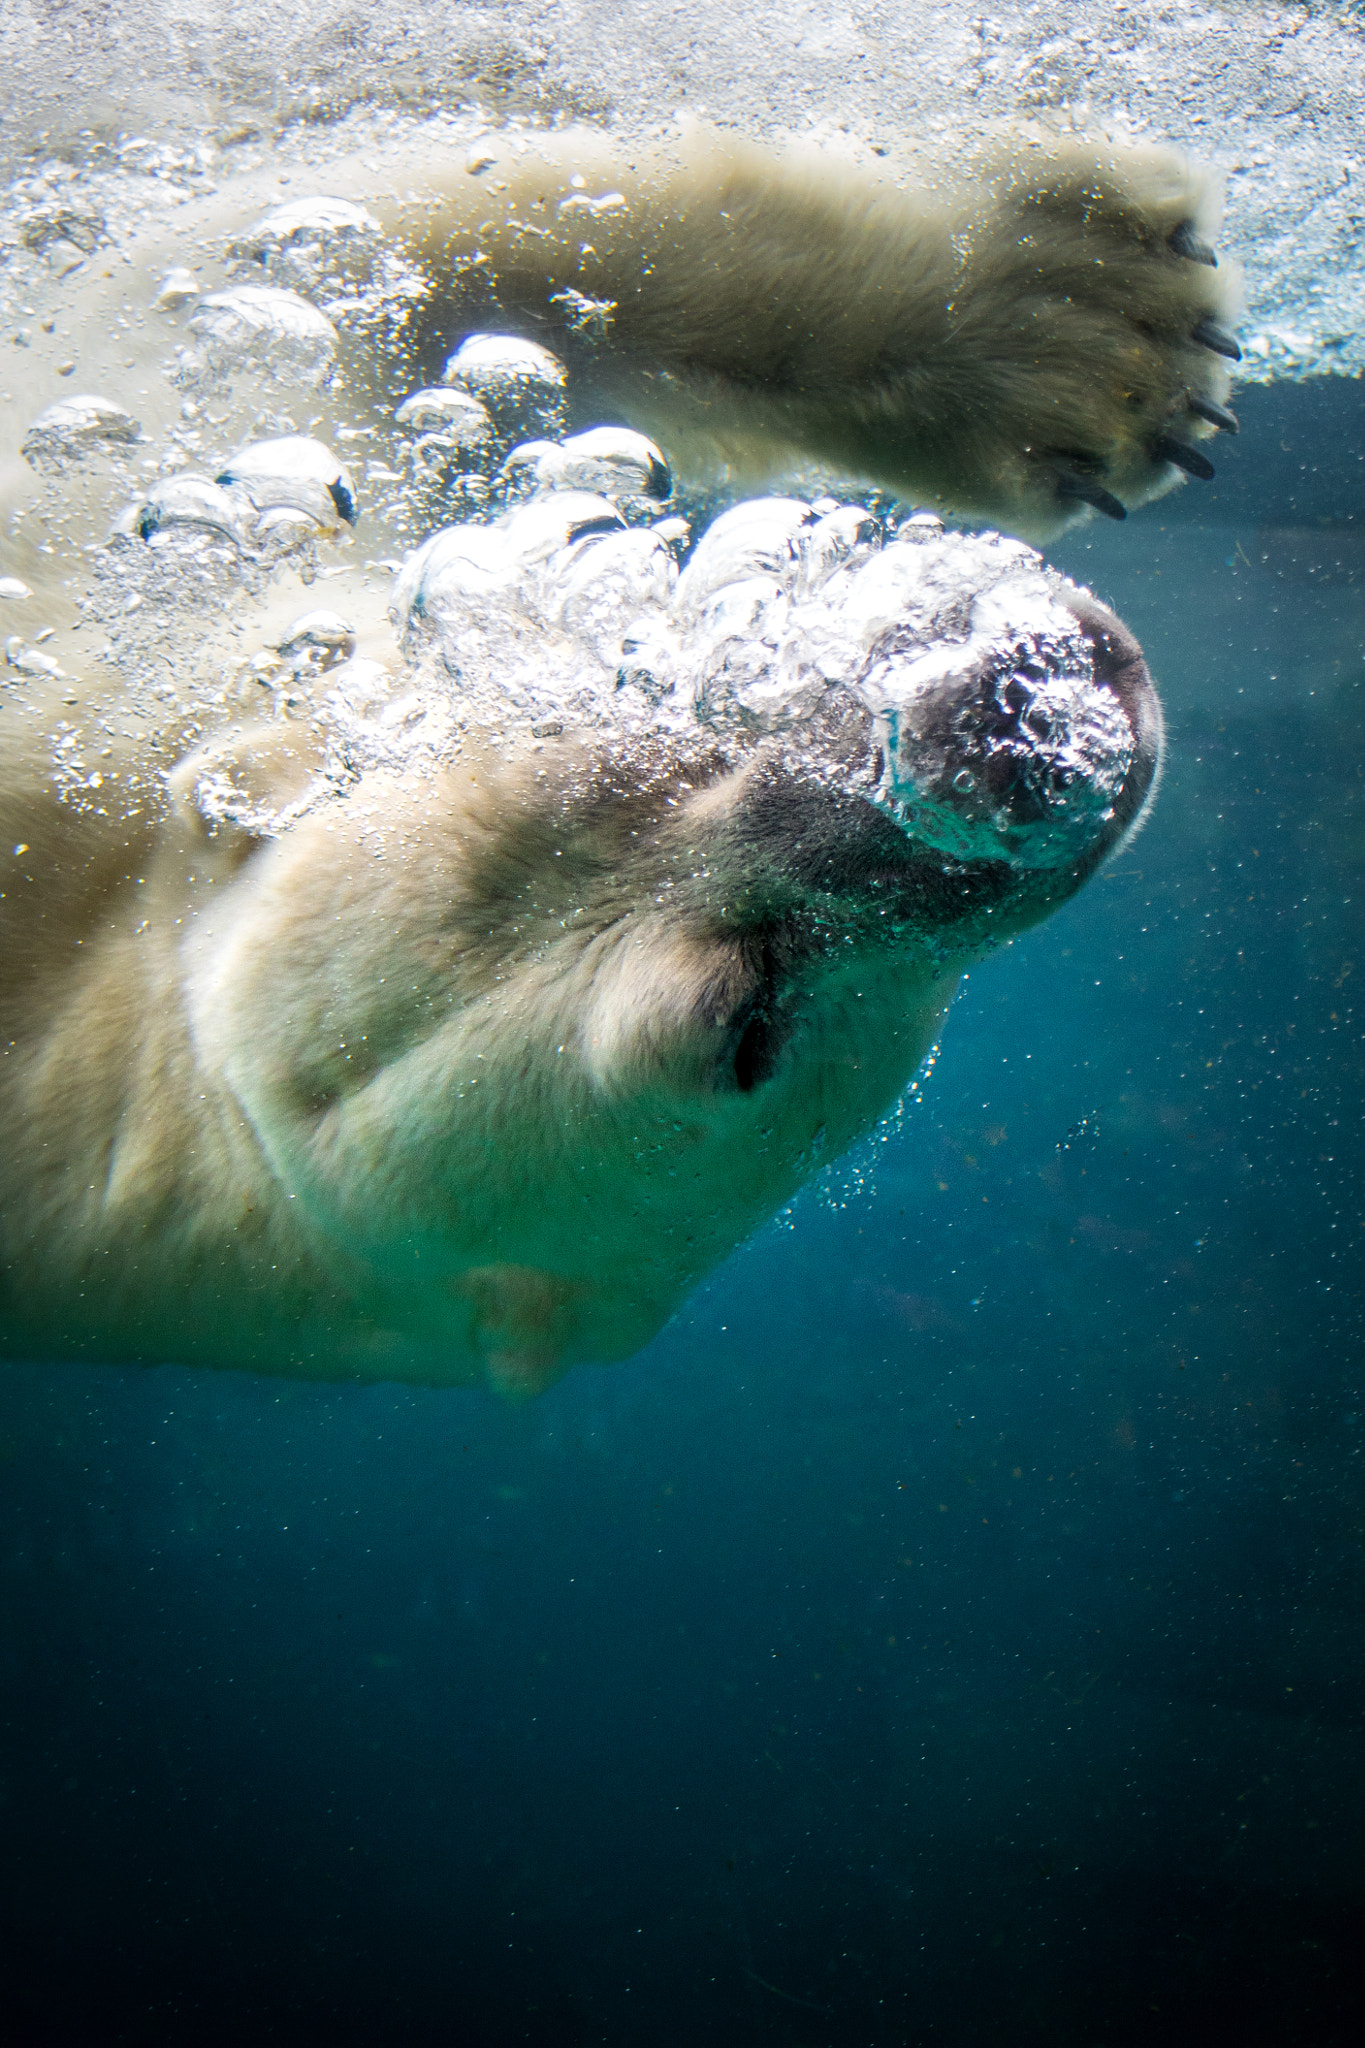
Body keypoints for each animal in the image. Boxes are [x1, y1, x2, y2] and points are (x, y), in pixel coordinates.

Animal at [0, 120, 1227, 1393]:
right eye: (746, 1026)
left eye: (599, 748)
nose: (983, 718)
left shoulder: (110, 552)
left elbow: (379, 232)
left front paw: (1091, 327)